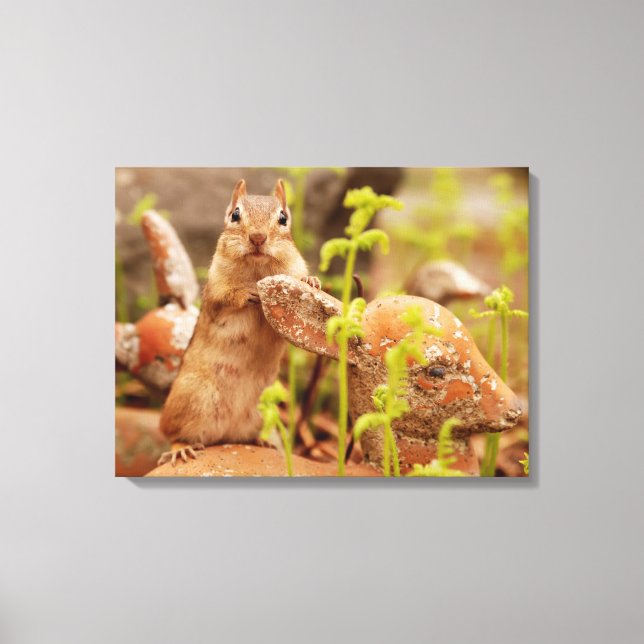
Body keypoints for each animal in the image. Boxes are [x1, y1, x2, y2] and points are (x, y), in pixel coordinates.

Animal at [157, 178, 319, 466]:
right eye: (235, 214)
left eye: (283, 218)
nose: (257, 237)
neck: (257, 269)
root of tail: (223, 434)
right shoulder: (215, 290)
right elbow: (226, 299)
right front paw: (246, 294)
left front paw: (311, 281)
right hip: (189, 402)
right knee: (174, 434)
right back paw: (181, 449)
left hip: (261, 412)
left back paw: (262, 441)